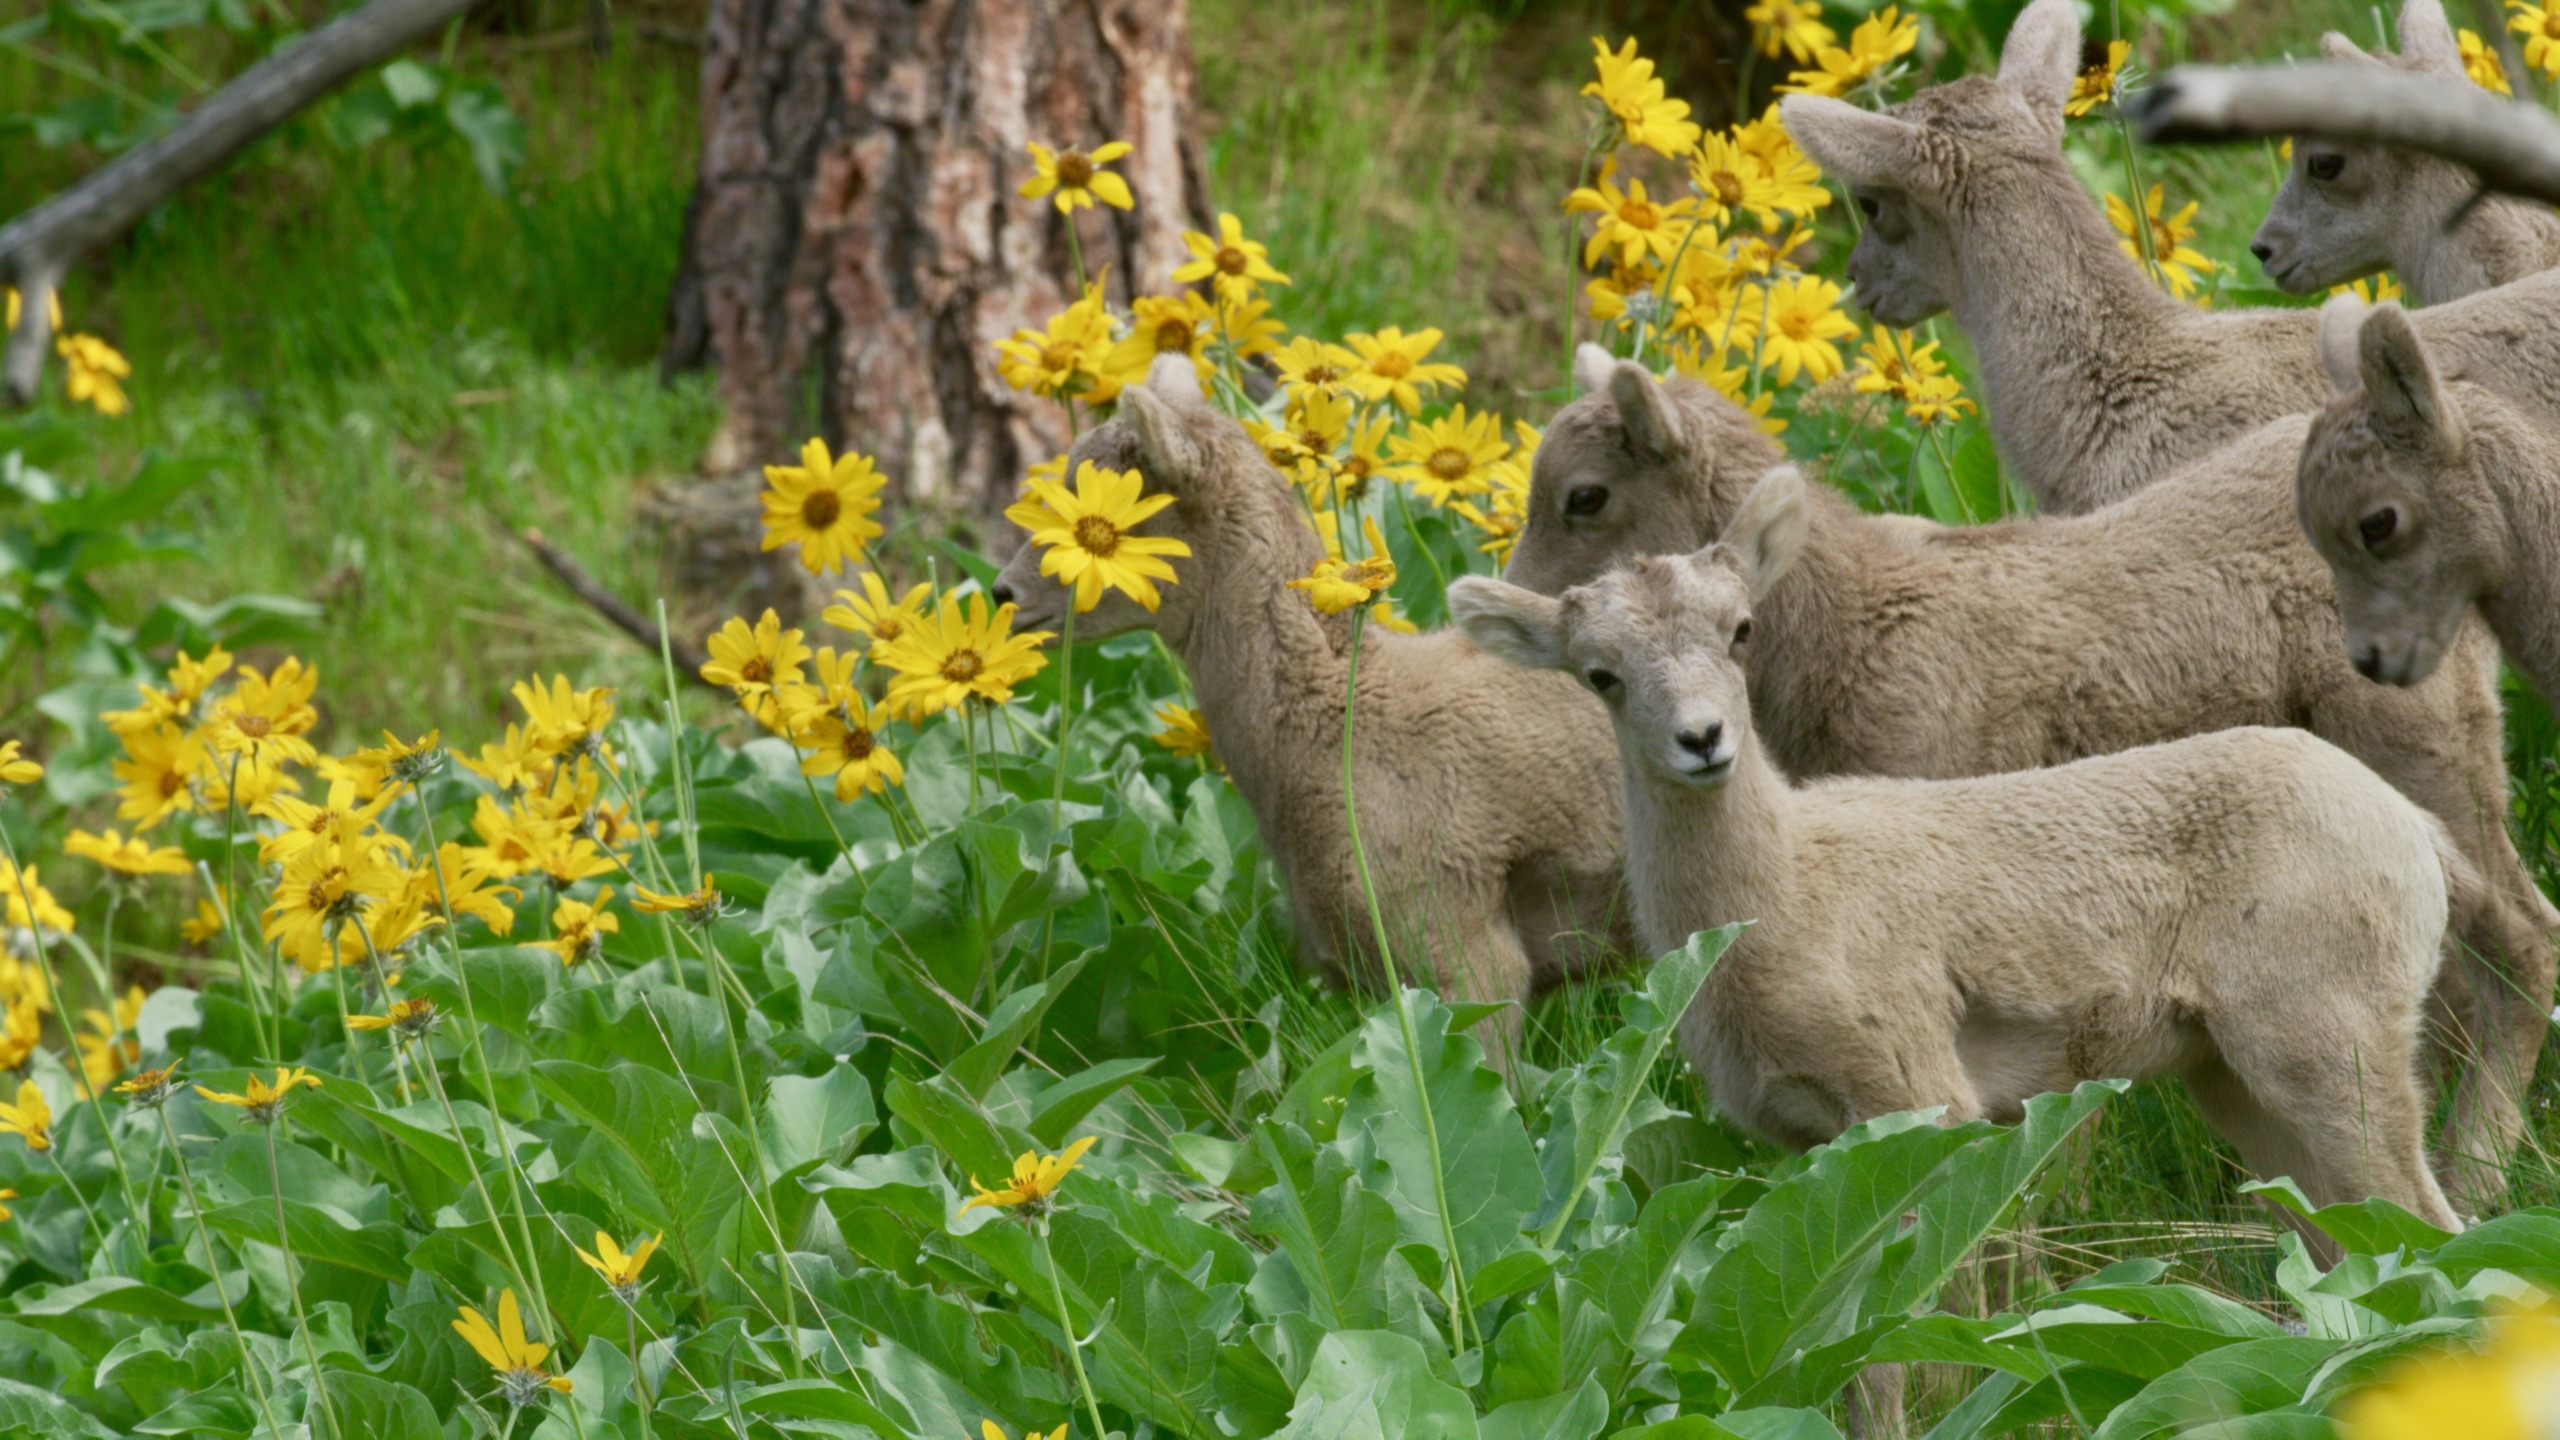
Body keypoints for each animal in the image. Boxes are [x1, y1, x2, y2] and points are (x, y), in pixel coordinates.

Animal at [1505, 351, 2549, 1209]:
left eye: (1585, 497)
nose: (1516, 605)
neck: (1853, 624)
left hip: (2420, 752)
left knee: (2523, 946)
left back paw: (2480, 1171)